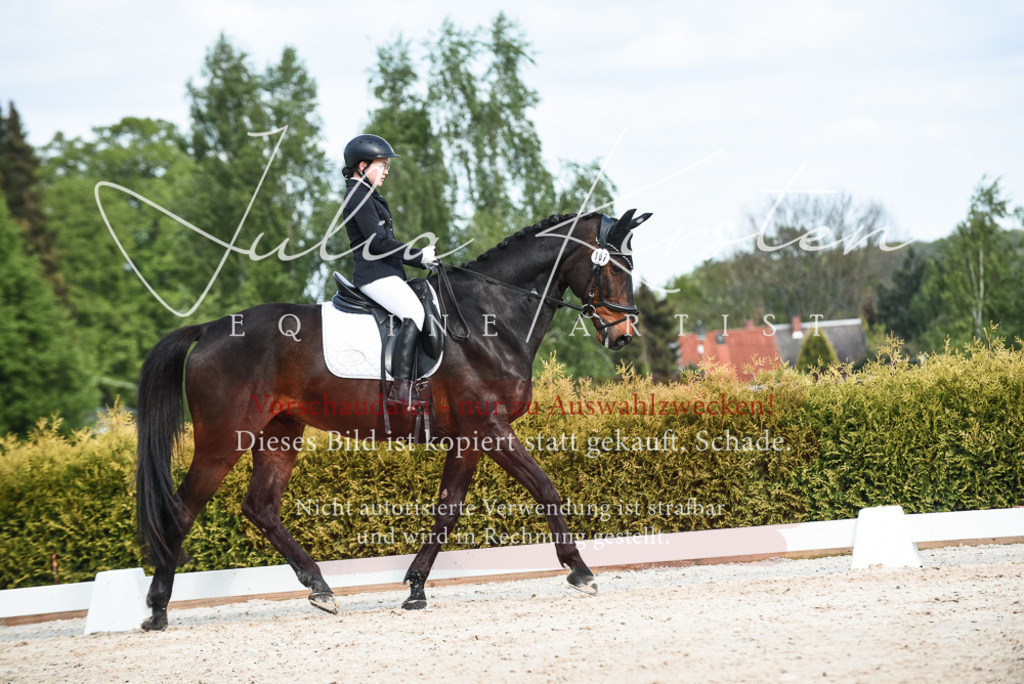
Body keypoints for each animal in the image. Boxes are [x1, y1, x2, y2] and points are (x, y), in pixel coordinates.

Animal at [135, 209, 651, 630]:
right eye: (614, 266)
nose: (624, 334)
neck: (490, 315)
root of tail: (209, 329)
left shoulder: (469, 437)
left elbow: (447, 509)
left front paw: (417, 586)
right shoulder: (491, 428)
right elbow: (546, 487)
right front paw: (580, 571)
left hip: (279, 433)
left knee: (260, 506)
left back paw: (321, 589)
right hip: (224, 438)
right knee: (182, 509)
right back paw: (158, 609)